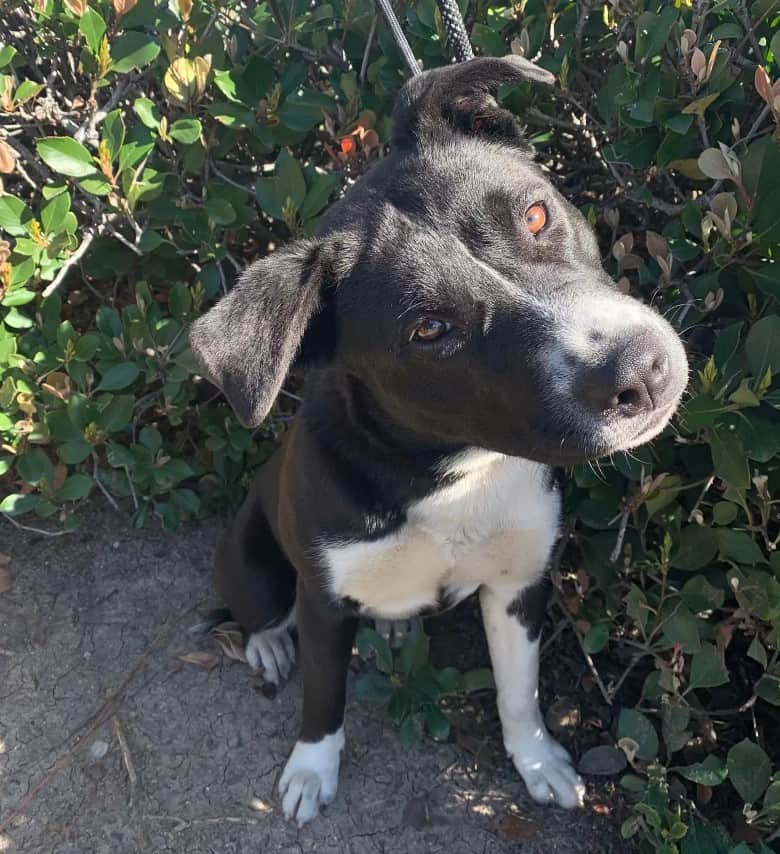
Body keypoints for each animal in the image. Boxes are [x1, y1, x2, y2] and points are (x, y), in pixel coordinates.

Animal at [190, 55, 688, 828]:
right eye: (429, 329)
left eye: (536, 214)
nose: (643, 370)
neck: (449, 474)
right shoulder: (324, 603)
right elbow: (323, 699)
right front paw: (310, 772)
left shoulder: (519, 584)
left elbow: (519, 692)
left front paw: (538, 763)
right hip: (252, 561)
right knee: (258, 611)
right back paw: (269, 645)